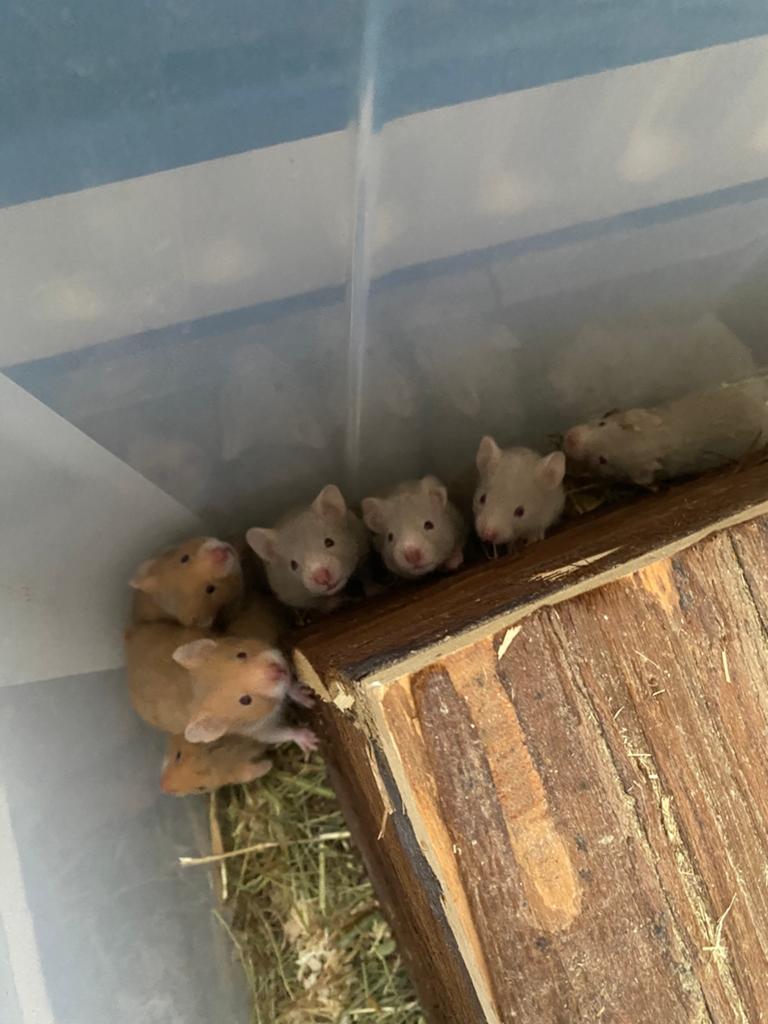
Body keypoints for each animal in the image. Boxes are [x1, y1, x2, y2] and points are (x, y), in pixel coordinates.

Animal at [172, 635, 318, 750]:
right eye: (245, 700)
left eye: (241, 655)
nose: (277, 670)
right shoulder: (256, 729)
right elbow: (279, 733)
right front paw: (312, 741)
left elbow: (288, 686)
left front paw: (308, 698)